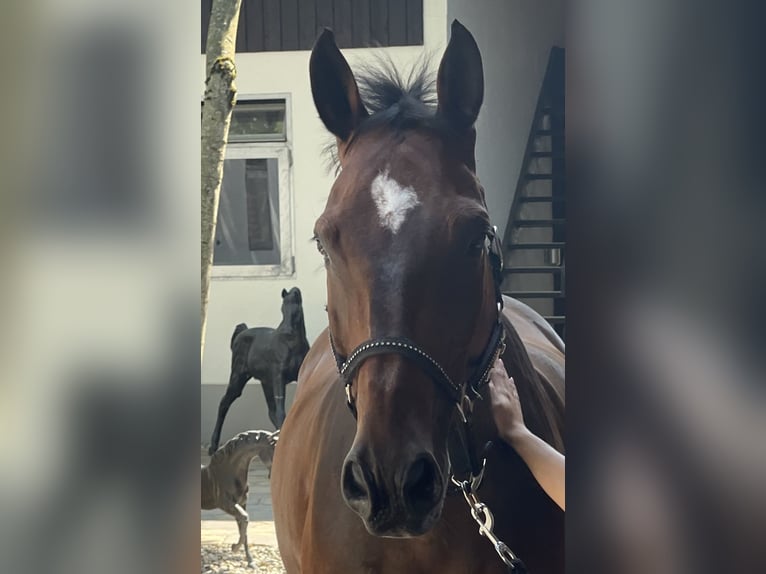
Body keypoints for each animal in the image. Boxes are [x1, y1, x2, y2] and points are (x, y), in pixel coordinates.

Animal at [208, 288, 310, 454]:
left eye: (297, 308)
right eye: (282, 308)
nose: (288, 331)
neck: (291, 343)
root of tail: (242, 332)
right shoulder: (279, 377)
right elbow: (282, 411)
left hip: (265, 382)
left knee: (271, 412)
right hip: (238, 376)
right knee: (224, 403)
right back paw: (213, 446)